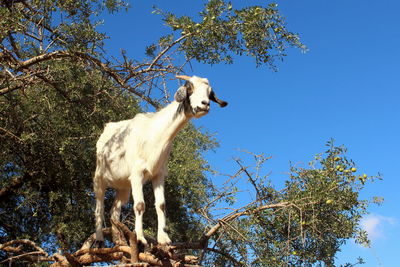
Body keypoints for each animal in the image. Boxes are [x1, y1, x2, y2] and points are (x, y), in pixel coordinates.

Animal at [92, 75, 227, 247]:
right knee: (99, 208)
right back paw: (99, 239)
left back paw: (118, 240)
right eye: (190, 88)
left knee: (114, 211)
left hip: (123, 187)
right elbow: (140, 205)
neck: (154, 133)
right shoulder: (136, 174)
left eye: (210, 93)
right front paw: (140, 238)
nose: (205, 105)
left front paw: (164, 239)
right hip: (99, 178)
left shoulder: (159, 174)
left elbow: (161, 205)